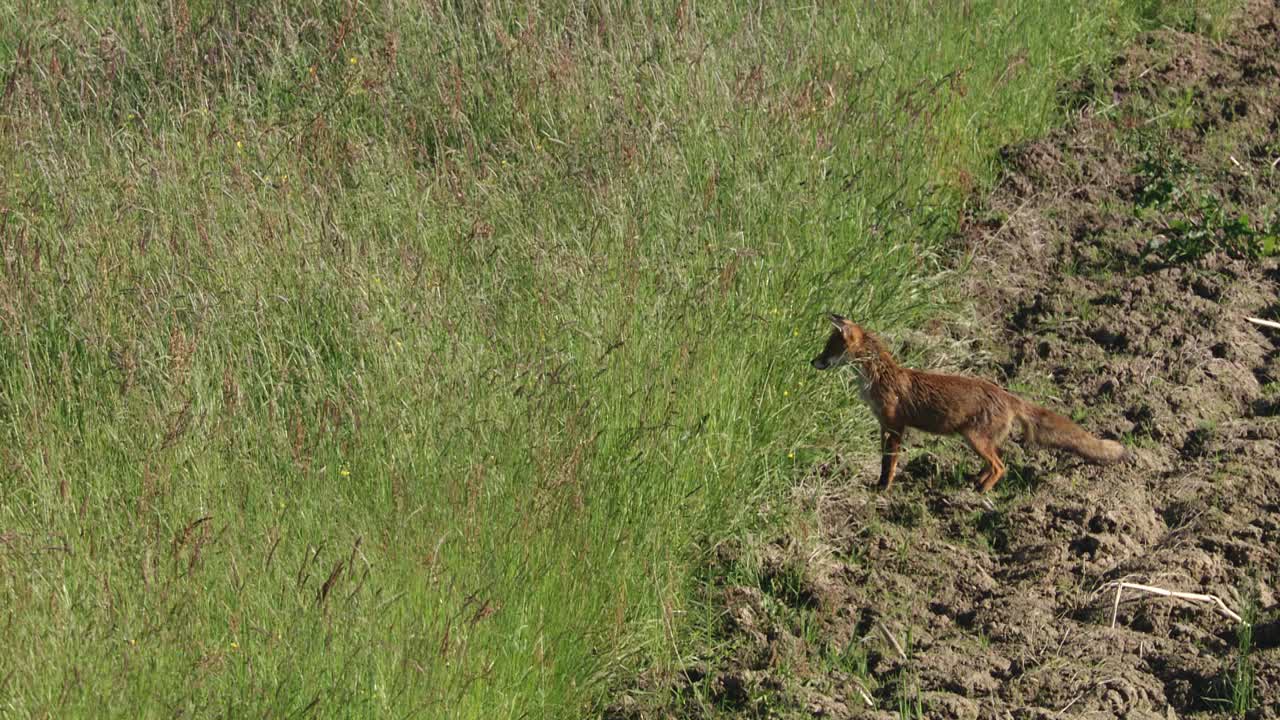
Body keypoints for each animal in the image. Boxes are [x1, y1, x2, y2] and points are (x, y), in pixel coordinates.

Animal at [814, 312, 1126, 486]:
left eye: (829, 349)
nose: (812, 361)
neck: (878, 377)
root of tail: (1008, 396)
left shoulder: (895, 426)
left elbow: (889, 465)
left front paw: (882, 488)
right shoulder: (884, 426)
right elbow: (883, 461)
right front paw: (879, 484)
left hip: (975, 439)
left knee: (1001, 467)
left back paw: (979, 491)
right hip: (978, 440)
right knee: (995, 464)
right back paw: (974, 481)